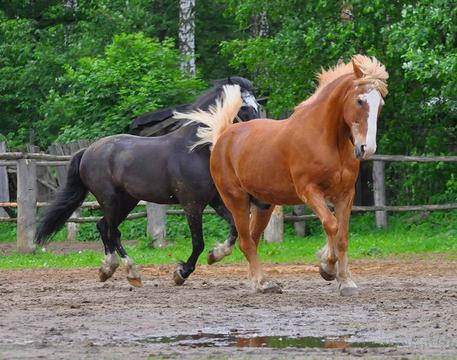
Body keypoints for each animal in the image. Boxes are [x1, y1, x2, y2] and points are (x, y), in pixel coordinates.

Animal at [180, 55, 386, 296]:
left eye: (380, 103)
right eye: (360, 100)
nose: (367, 149)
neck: (324, 138)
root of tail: (223, 136)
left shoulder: (345, 193)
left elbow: (342, 235)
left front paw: (345, 281)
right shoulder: (309, 190)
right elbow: (331, 224)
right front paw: (327, 268)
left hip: (263, 205)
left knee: (251, 238)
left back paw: (244, 273)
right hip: (236, 199)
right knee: (245, 241)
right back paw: (262, 282)